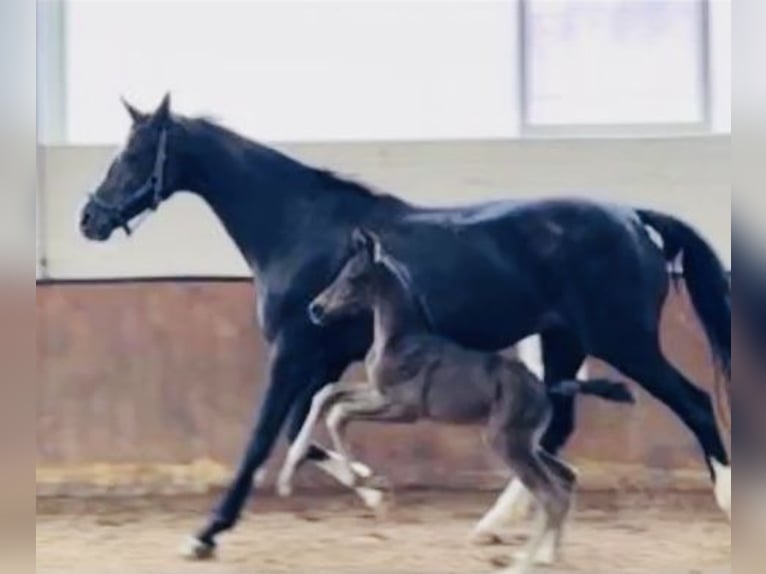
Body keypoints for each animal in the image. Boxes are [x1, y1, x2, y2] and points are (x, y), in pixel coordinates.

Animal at [81, 97, 736, 560]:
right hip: (565, 343)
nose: (89, 218)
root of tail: (633, 217)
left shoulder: (293, 352)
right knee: (556, 429)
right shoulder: (321, 356)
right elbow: (303, 424)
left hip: (624, 341)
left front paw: (206, 533)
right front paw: (373, 489)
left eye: (135, 155)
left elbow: (262, 436)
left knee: (696, 403)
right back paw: (496, 526)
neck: (298, 228)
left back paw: (727, 503)